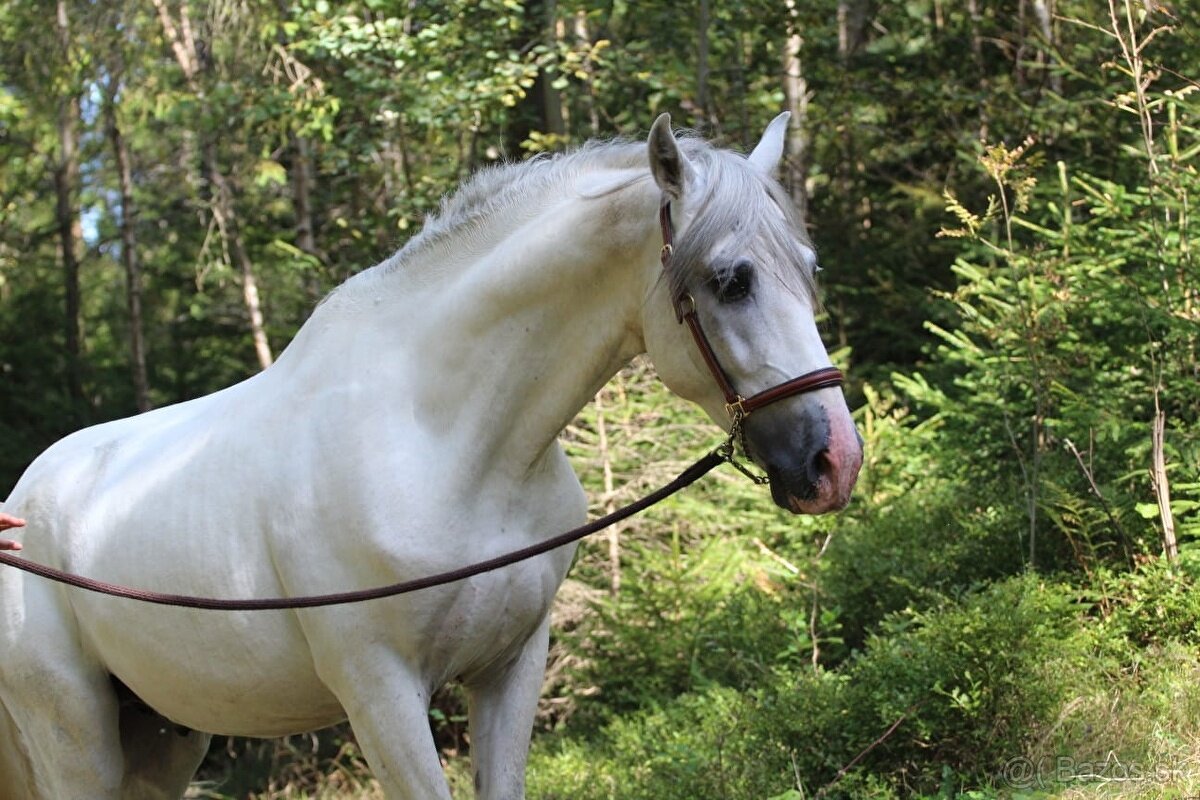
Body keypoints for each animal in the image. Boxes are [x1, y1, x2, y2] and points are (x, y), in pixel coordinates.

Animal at [0, 117, 864, 800]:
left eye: (811, 268)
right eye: (730, 279)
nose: (835, 460)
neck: (449, 443)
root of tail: (17, 507)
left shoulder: (512, 668)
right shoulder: (380, 692)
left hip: (161, 738)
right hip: (74, 737)